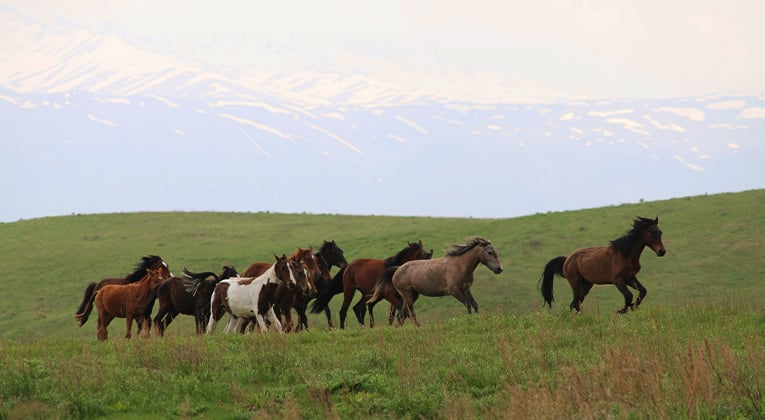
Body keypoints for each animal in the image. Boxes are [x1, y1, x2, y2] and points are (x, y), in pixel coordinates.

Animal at [369, 237, 503, 327]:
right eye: (489, 252)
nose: (499, 269)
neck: (460, 265)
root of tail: (397, 269)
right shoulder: (454, 291)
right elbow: (468, 304)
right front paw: (470, 320)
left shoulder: (466, 288)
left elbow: (474, 305)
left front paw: (477, 320)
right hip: (408, 295)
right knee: (410, 312)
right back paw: (418, 327)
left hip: (411, 296)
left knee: (401, 315)